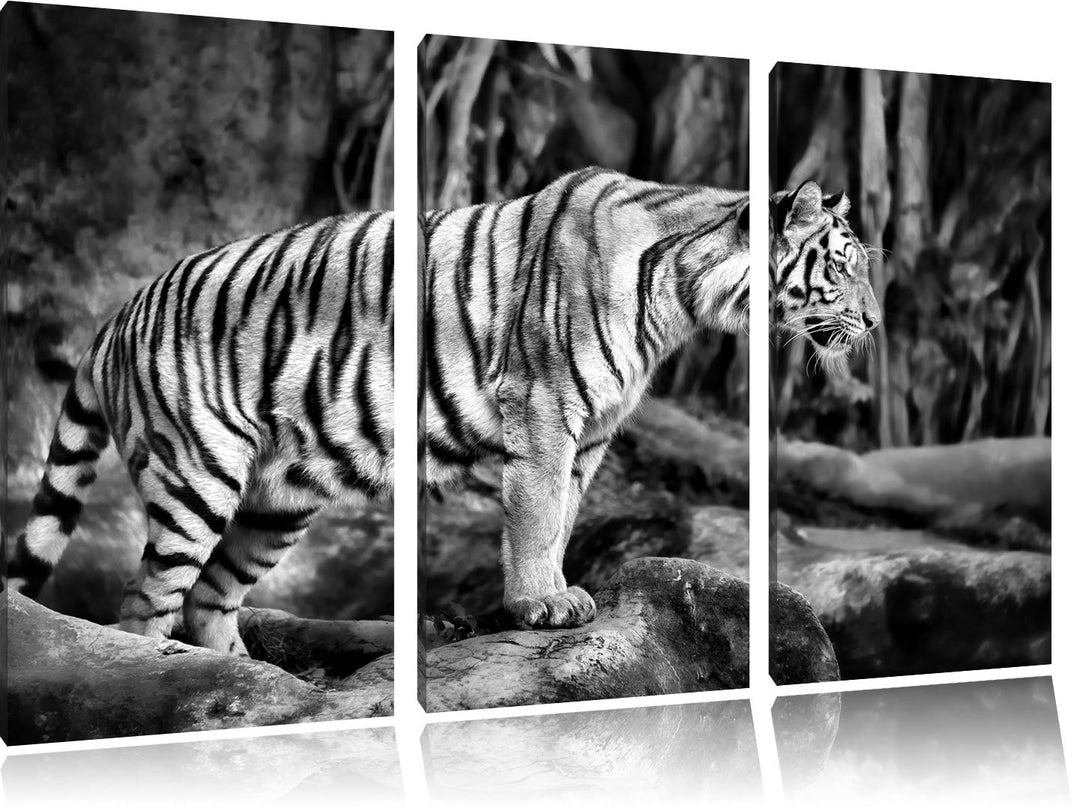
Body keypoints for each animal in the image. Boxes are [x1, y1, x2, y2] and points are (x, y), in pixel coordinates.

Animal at [10, 211, 394, 656]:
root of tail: (118, 315)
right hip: (196, 476)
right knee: (147, 595)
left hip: (279, 502)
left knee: (209, 593)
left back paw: (242, 665)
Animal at [424, 166, 749, 629]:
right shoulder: (541, 395)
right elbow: (539, 505)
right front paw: (540, 599)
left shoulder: (598, 421)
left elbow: (565, 508)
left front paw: (559, 592)